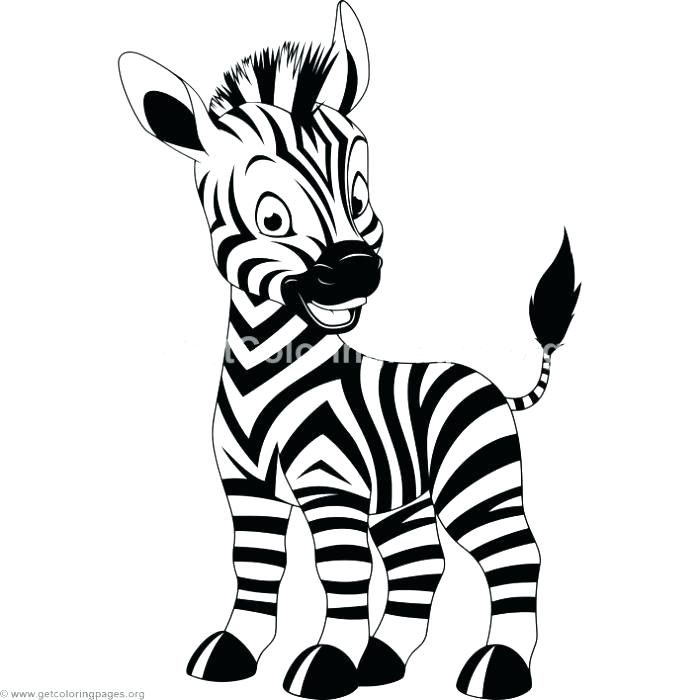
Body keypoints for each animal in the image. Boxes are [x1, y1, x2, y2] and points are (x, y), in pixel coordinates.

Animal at [118, 3, 580, 699]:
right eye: (271, 219)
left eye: (358, 194)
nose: (358, 269)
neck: (261, 369)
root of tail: (492, 385)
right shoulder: (248, 491)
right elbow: (257, 572)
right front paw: (235, 650)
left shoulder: (331, 486)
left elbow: (342, 575)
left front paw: (328, 664)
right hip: (404, 499)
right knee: (421, 563)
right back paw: (384, 662)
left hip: (476, 481)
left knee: (515, 553)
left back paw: (498, 666)